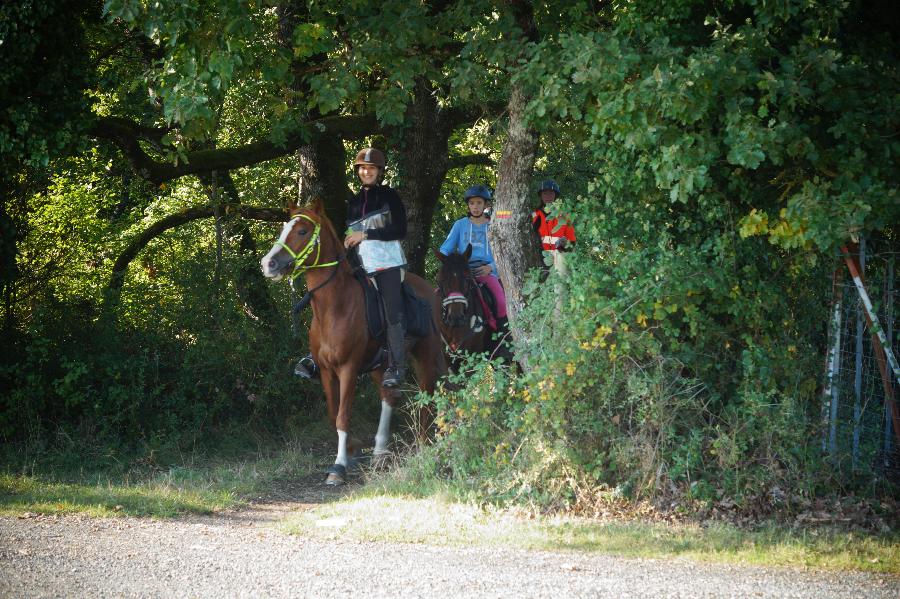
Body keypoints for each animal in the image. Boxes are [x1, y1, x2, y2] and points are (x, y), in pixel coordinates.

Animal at [260, 202, 446, 488]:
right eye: (284, 228)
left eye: (302, 231)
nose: (268, 264)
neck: (334, 307)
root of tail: (429, 290)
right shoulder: (326, 370)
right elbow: (332, 411)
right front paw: (353, 450)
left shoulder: (348, 368)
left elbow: (342, 415)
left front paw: (338, 467)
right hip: (380, 366)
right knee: (389, 396)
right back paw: (379, 453)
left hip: (425, 355)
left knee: (426, 394)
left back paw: (423, 445)